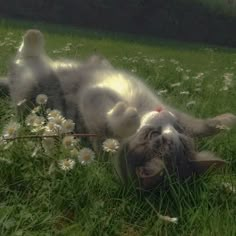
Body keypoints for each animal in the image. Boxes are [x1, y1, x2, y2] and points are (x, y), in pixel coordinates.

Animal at [0, 28, 235, 190]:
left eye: (153, 135)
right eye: (160, 132)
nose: (162, 114)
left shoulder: (91, 106)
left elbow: (110, 121)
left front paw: (127, 116)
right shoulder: (177, 114)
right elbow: (201, 124)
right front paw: (228, 120)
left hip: (31, 83)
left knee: (23, 60)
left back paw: (32, 40)